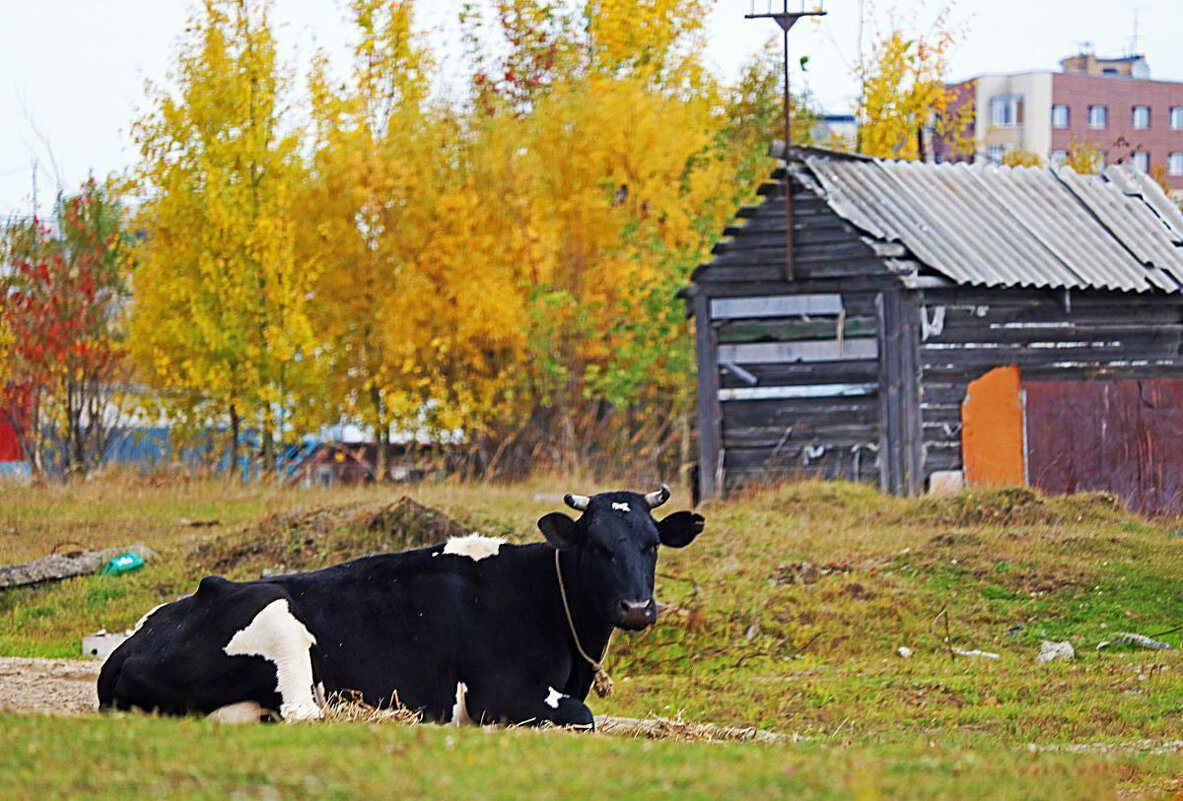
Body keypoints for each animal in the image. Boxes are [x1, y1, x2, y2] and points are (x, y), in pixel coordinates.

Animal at [99, 485, 700, 728]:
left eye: (652, 544)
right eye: (596, 546)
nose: (637, 608)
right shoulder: (501, 693)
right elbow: (584, 717)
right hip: (278, 616)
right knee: (304, 712)